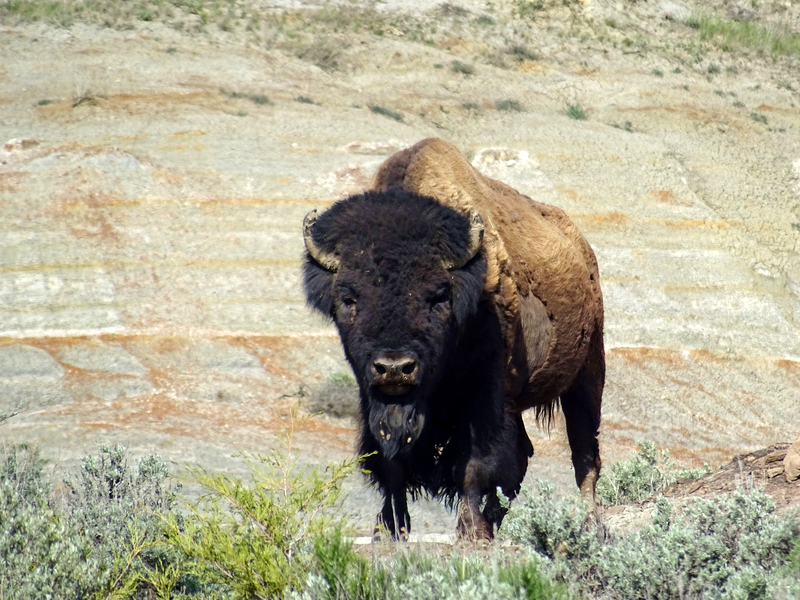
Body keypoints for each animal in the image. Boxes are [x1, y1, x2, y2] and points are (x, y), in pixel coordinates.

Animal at [304, 138, 604, 540]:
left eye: (439, 296)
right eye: (348, 299)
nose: (395, 368)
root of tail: (584, 251)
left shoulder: (483, 397)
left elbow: (474, 465)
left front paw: (471, 532)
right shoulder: (373, 401)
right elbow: (391, 466)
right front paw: (388, 529)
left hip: (587, 375)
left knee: (584, 454)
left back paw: (591, 526)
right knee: (524, 457)